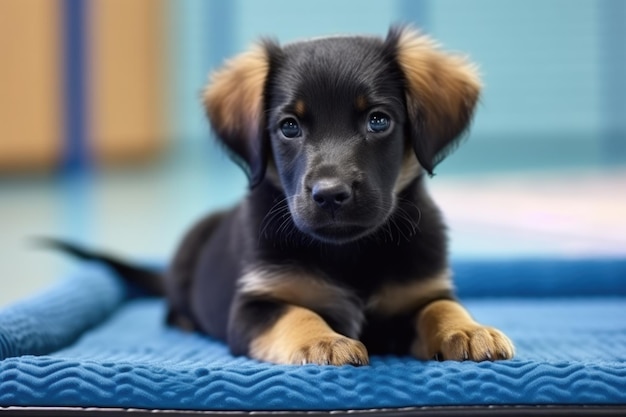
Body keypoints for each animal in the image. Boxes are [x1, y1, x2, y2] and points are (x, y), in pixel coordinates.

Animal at [53, 26, 516, 364]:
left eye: (378, 120)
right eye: (289, 126)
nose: (330, 195)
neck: (348, 252)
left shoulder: (419, 292)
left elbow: (440, 308)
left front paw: (468, 330)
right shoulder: (254, 307)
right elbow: (297, 313)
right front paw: (323, 341)